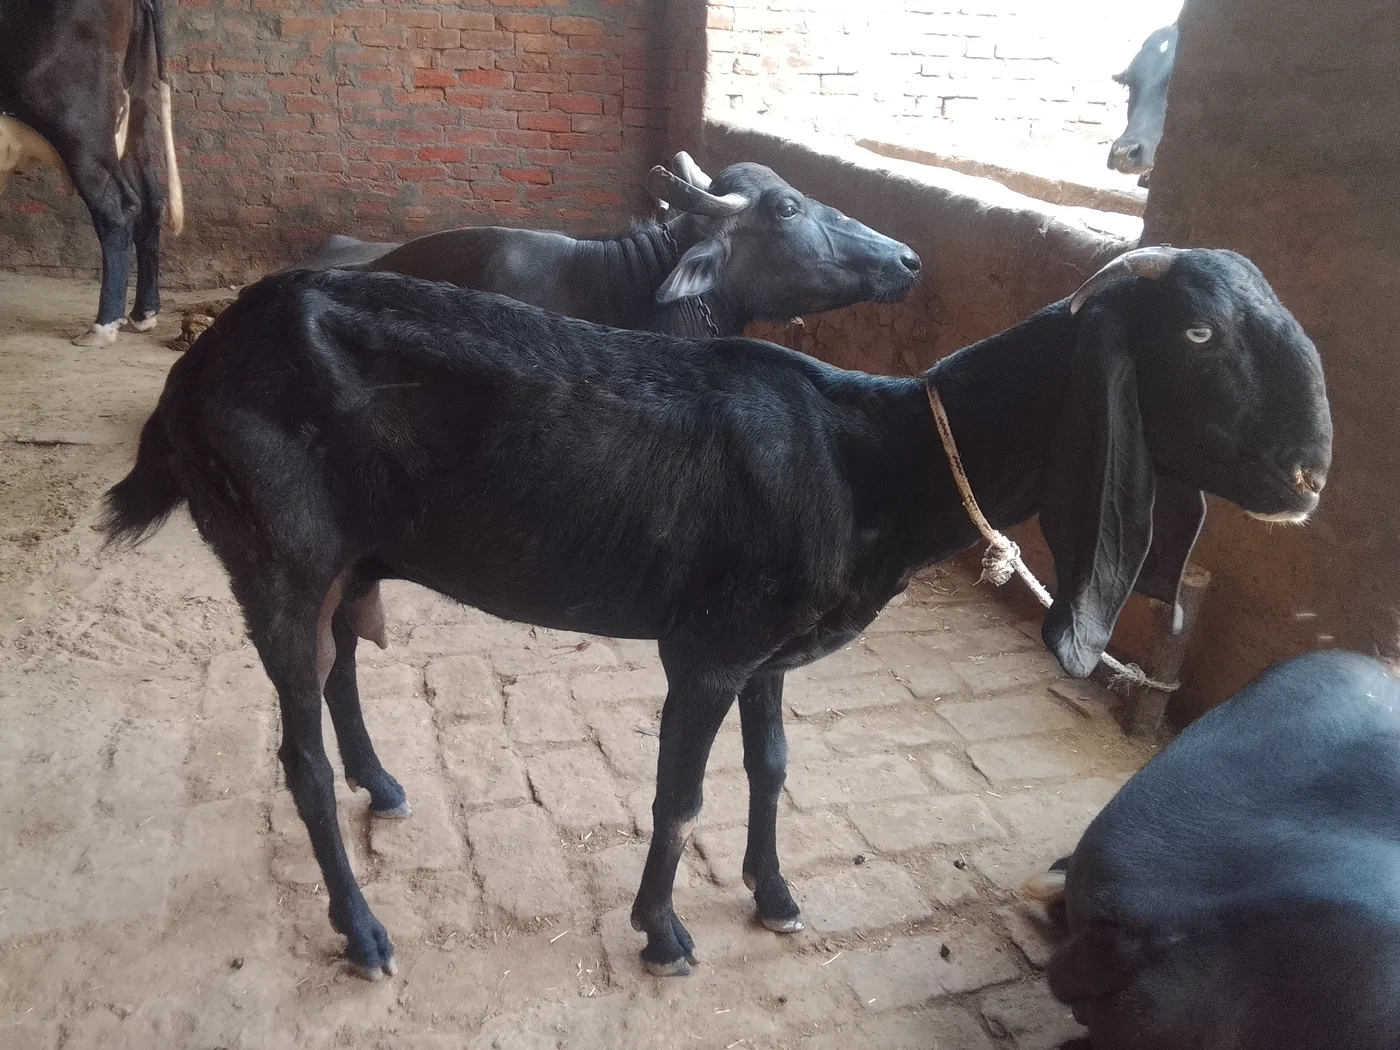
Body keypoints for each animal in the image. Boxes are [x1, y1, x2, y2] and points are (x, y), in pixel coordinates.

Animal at [101, 246, 1331, 980]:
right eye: (1198, 336)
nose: (1309, 473)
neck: (870, 455)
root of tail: (196, 370)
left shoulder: (770, 653)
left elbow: (773, 765)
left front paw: (776, 894)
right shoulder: (707, 647)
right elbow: (679, 791)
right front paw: (664, 932)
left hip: (348, 553)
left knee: (339, 668)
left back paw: (384, 783)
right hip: (272, 546)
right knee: (295, 751)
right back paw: (361, 928)